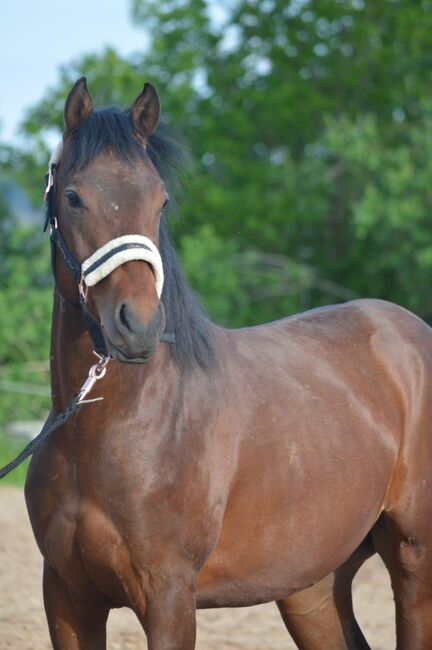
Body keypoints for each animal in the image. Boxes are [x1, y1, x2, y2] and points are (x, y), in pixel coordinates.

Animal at [25, 77, 432, 648]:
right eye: (73, 196)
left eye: (160, 199)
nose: (137, 324)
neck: (109, 431)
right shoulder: (66, 598)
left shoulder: (169, 598)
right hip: (311, 588)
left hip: (414, 559)